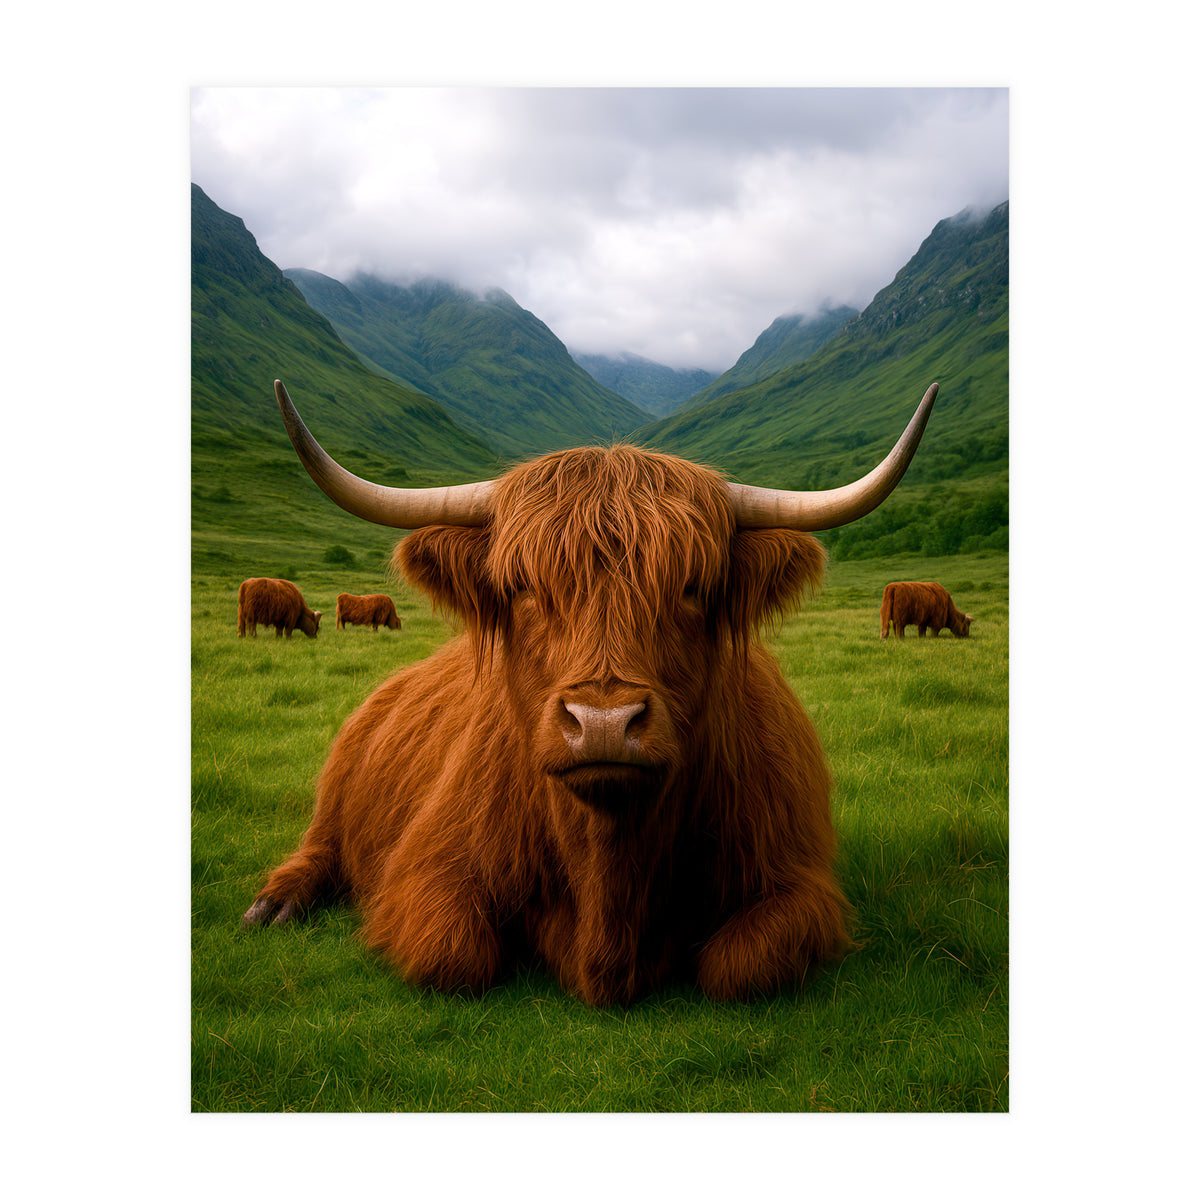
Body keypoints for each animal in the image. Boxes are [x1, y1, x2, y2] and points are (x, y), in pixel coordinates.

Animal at [243, 379, 939, 1005]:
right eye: (522, 586)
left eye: (692, 587)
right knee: (319, 846)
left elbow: (739, 968)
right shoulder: (426, 869)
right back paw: (274, 904)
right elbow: (454, 955)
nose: (603, 723)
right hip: (337, 792)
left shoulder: (798, 883)